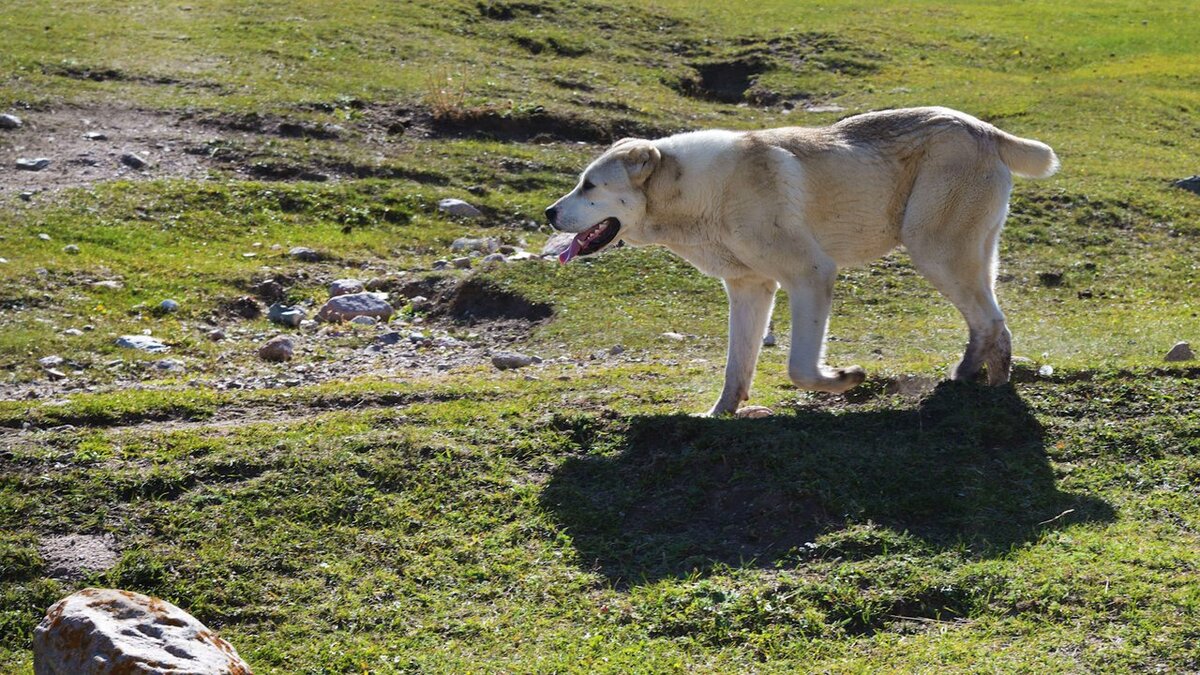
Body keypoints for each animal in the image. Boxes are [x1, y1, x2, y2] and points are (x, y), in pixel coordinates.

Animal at [547, 106, 1060, 413]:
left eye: (589, 185)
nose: (549, 213)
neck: (700, 192)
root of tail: (984, 129)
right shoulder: (750, 289)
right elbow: (737, 365)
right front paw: (719, 415)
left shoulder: (811, 275)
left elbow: (799, 367)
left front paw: (846, 378)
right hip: (964, 257)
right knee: (991, 324)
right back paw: (979, 380)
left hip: (934, 250)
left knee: (990, 321)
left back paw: (978, 385)